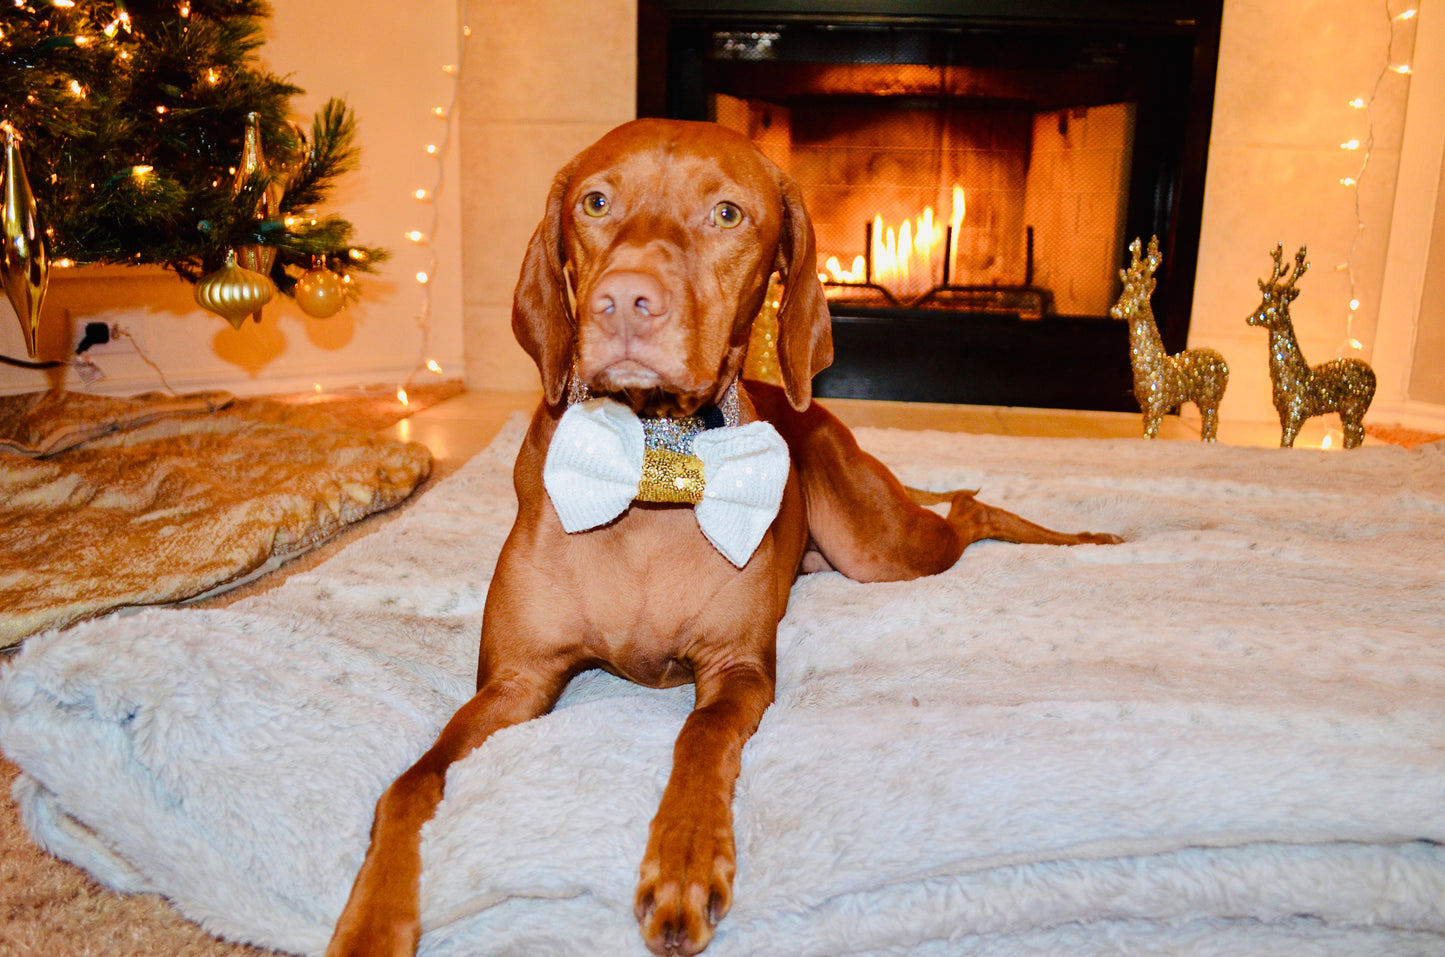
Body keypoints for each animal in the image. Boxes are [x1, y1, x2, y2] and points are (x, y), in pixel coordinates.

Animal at [328, 119, 1115, 957]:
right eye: (595, 202)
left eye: (728, 214)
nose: (623, 301)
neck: (651, 465)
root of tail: (810, 407)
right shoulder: (517, 680)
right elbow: (409, 782)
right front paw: (371, 918)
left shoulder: (737, 668)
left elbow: (700, 737)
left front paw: (683, 859)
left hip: (879, 547)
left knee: (970, 511)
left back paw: (1080, 535)